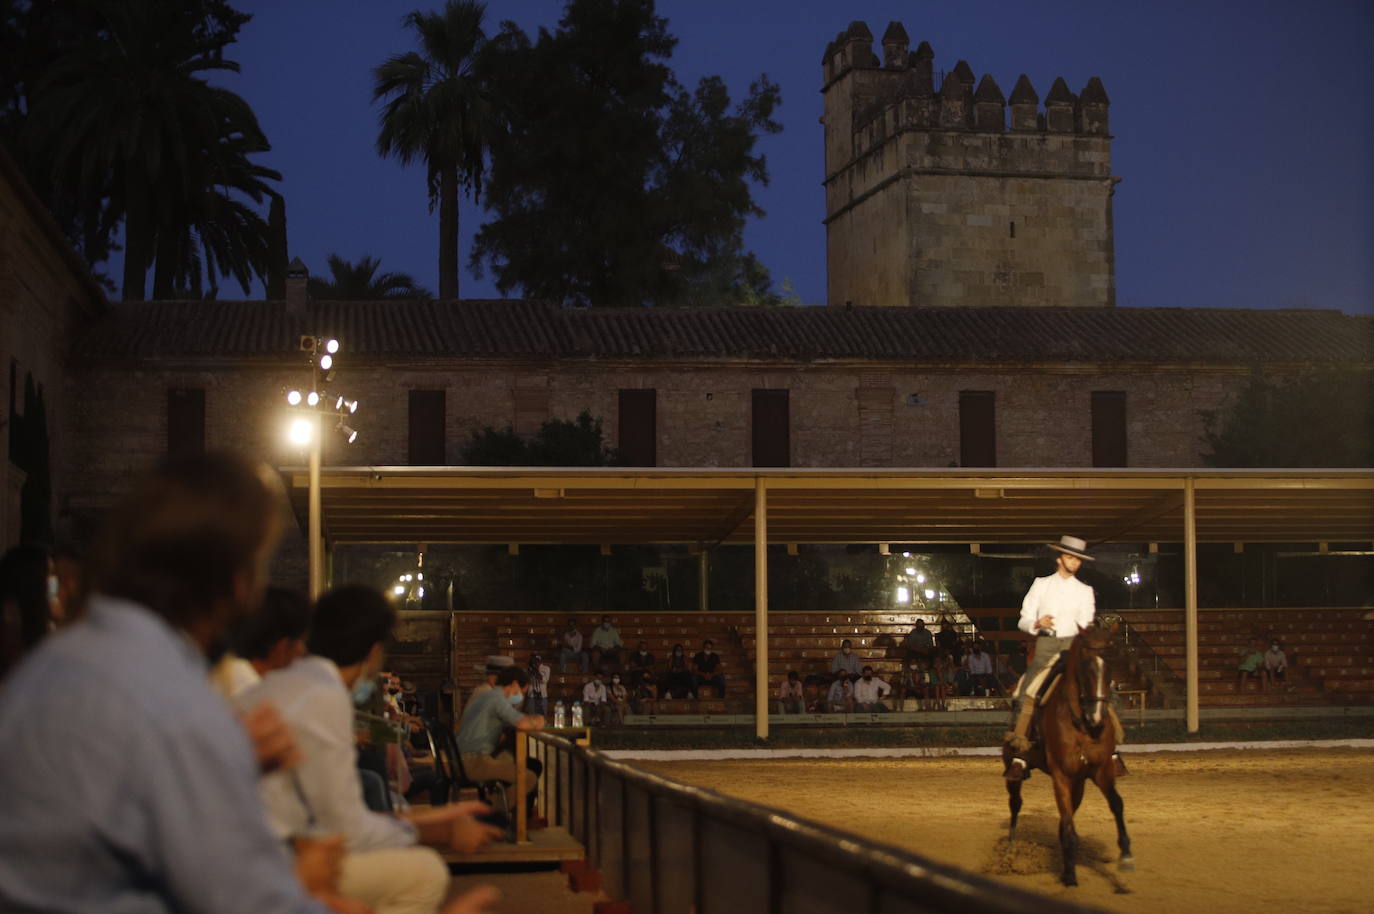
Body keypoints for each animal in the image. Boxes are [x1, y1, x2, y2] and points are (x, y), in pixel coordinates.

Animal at [1005, 626, 1132, 885]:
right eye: (1084, 665)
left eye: (1112, 664)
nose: (1097, 716)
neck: (1081, 722)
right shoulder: (1061, 775)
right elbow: (1067, 823)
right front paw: (1070, 875)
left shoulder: (1100, 770)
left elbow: (1116, 803)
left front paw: (1125, 854)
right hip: (1013, 768)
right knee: (1015, 803)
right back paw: (1011, 848)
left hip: (1079, 782)